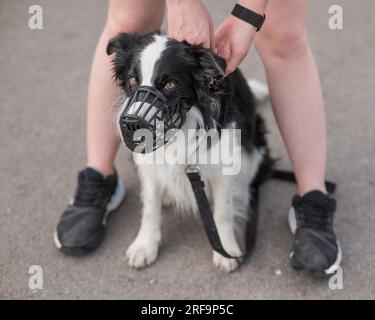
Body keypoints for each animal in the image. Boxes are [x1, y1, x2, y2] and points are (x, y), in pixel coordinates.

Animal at [107, 31, 272, 272]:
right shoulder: (148, 164)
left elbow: (223, 210)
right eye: (133, 80)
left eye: (169, 84)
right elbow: (150, 207)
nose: (130, 124)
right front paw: (145, 245)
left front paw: (225, 250)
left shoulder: (224, 163)